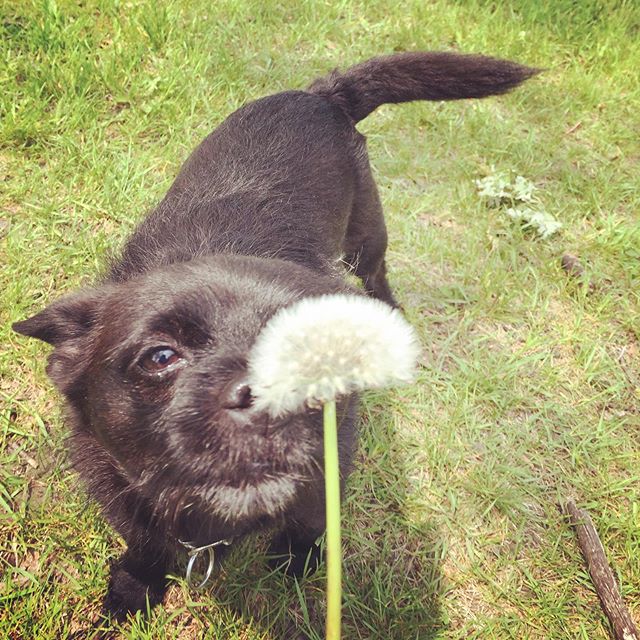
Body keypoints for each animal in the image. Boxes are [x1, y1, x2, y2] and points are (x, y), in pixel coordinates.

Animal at [13, 52, 536, 616]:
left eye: (312, 352)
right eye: (159, 357)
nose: (267, 398)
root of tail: (322, 93)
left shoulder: (331, 467)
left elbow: (309, 519)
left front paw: (297, 560)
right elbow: (146, 541)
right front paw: (136, 585)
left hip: (367, 236)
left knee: (377, 273)